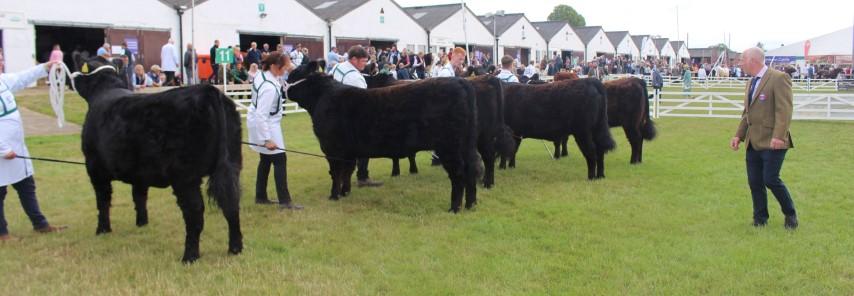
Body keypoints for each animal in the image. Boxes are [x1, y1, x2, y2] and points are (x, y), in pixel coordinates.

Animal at [72, 56, 244, 262]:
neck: (105, 90)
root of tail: (208, 91)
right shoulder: (139, 172)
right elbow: (139, 196)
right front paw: (142, 223)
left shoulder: (95, 167)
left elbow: (103, 200)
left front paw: (103, 229)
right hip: (232, 163)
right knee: (231, 204)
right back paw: (235, 248)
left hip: (184, 176)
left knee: (195, 212)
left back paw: (189, 256)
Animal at [288, 60, 484, 213]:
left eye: (295, 73)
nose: (286, 88)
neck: (323, 98)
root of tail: (460, 82)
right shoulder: (348, 151)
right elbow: (347, 171)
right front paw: (345, 192)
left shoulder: (331, 148)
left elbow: (336, 173)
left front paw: (334, 196)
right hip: (465, 145)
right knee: (470, 170)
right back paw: (471, 204)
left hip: (449, 146)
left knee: (459, 173)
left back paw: (454, 208)